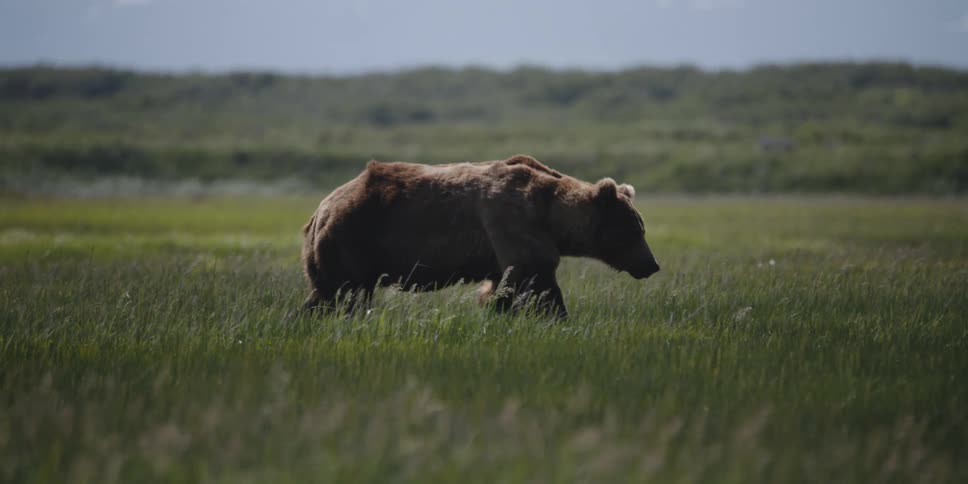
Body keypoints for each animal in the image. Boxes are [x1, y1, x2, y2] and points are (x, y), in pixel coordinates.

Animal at [300, 154, 659, 319]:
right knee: (343, 291)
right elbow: (537, 282)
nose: (652, 264)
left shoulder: (503, 247)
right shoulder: (513, 225)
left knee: (331, 293)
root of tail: (321, 209)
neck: (552, 215)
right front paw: (555, 317)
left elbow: (504, 285)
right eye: (636, 230)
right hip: (353, 235)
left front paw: (496, 308)